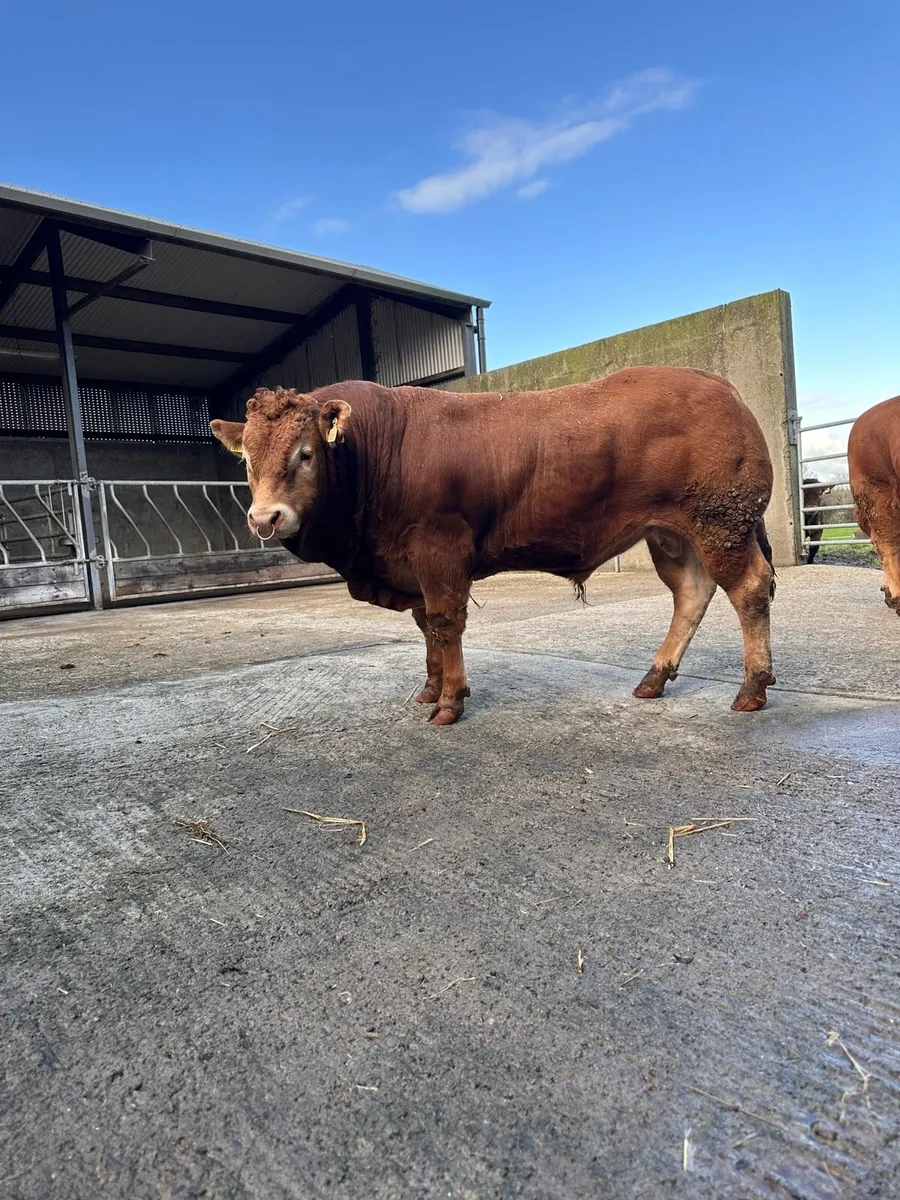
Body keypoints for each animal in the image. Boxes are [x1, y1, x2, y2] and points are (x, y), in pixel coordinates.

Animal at [211, 368, 777, 725]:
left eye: (305, 454)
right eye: (246, 460)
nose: (265, 518)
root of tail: (717, 382)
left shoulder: (438, 548)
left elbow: (445, 622)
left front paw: (449, 701)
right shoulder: (411, 564)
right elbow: (427, 625)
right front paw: (430, 687)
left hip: (719, 523)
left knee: (749, 589)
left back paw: (752, 689)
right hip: (673, 534)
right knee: (692, 594)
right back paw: (654, 679)